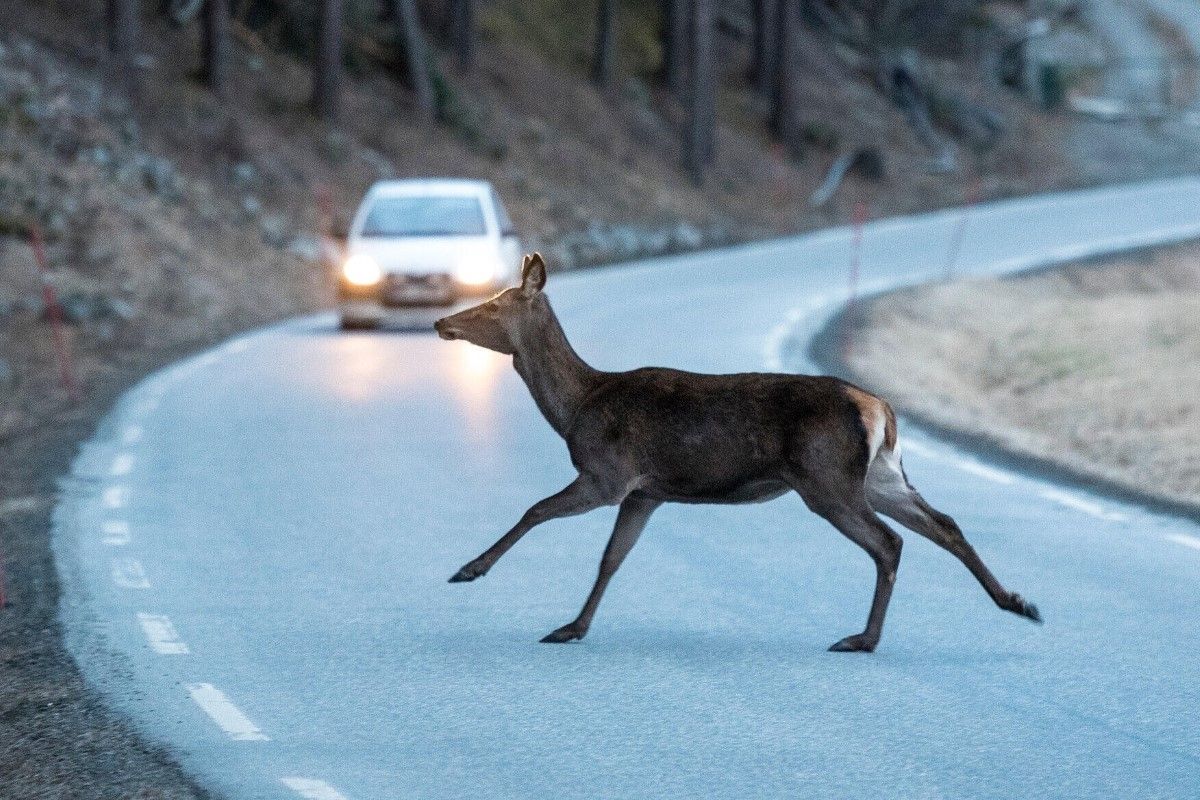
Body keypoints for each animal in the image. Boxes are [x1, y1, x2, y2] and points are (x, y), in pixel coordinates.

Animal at [434, 253, 1041, 652]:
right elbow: (612, 557)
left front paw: (469, 569)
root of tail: (881, 409)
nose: (442, 321)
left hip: (826, 477)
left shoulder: (609, 474)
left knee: (889, 541)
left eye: (494, 306)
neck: (579, 406)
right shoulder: (646, 493)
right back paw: (1018, 602)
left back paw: (864, 639)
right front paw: (573, 627)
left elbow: (535, 510)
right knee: (943, 522)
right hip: (879, 475)